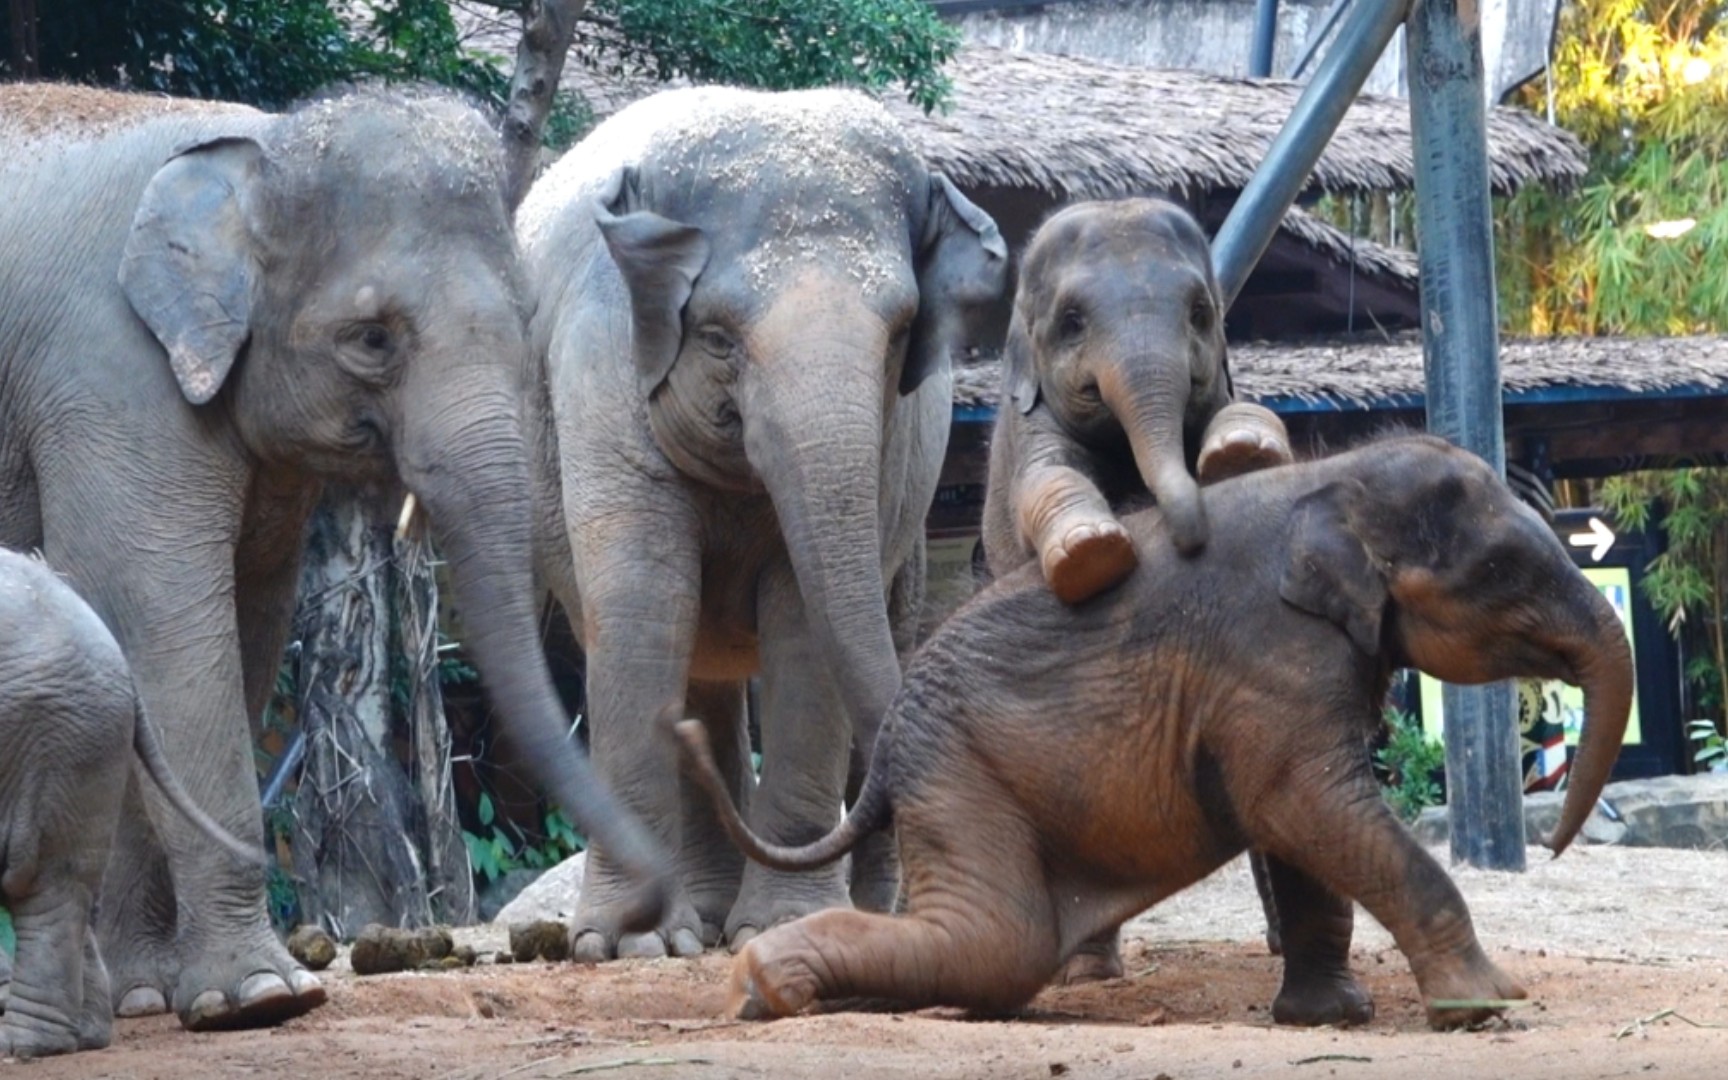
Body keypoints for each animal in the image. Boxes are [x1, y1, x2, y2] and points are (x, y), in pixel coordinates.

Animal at [0, 552, 262, 1057]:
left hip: (62, 744)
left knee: (49, 889)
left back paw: (25, 1047)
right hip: (82, 744)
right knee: (73, 887)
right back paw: (83, 1038)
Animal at [673, 433, 1631, 1029]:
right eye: (1503, 569)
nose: (1554, 844)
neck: (1331, 478)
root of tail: (888, 756)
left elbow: (1297, 824)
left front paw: (1330, 1017)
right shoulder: (1272, 654)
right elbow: (1302, 802)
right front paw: (1485, 1008)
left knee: (987, 952)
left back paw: (778, 992)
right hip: (959, 773)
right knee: (999, 945)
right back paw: (759, 986)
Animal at [988, 197, 1299, 601]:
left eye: (1199, 313)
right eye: (1072, 322)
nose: (1191, 544)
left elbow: (1244, 407)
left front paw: (1243, 453)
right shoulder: (1028, 421)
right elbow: (1045, 473)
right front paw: (1089, 551)